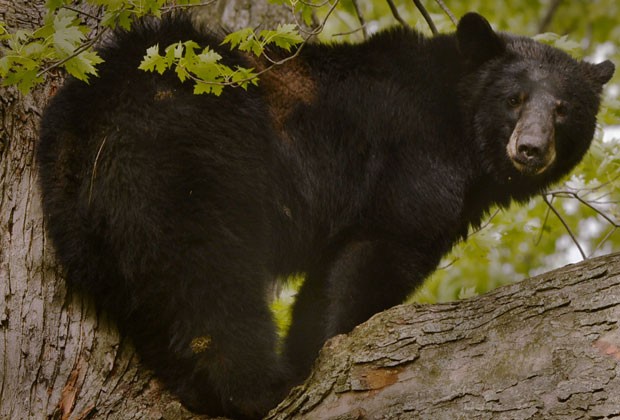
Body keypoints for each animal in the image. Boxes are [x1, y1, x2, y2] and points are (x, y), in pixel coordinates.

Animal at [37, 11, 612, 418]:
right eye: (514, 98)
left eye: (564, 108)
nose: (531, 149)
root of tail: (93, 118)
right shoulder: (413, 157)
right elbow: (374, 253)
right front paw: (319, 356)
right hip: (189, 161)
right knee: (206, 277)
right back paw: (257, 388)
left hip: (78, 215)